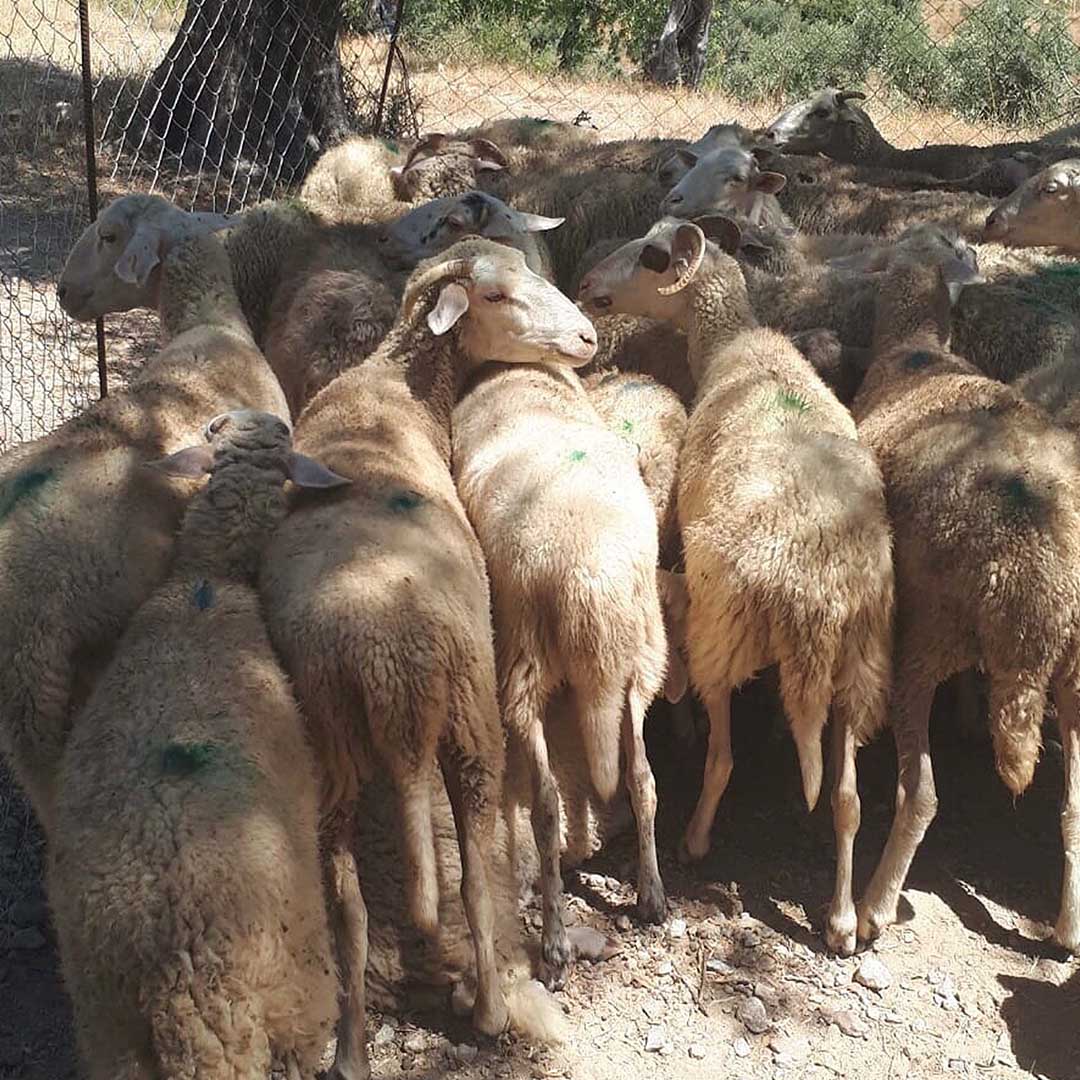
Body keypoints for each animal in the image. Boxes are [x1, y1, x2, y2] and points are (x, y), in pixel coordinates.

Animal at [261, 236, 600, 1071]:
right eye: (498, 297)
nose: (586, 339)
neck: (393, 385)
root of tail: (388, 660)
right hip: (473, 712)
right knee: (476, 872)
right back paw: (489, 1009)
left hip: (331, 744)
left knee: (347, 905)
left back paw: (352, 1050)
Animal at [851, 232, 1080, 950]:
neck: (916, 347)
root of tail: (1041, 584)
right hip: (1076, 670)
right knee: (1073, 805)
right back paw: (1068, 930)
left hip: (926, 636)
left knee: (921, 795)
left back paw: (872, 907)